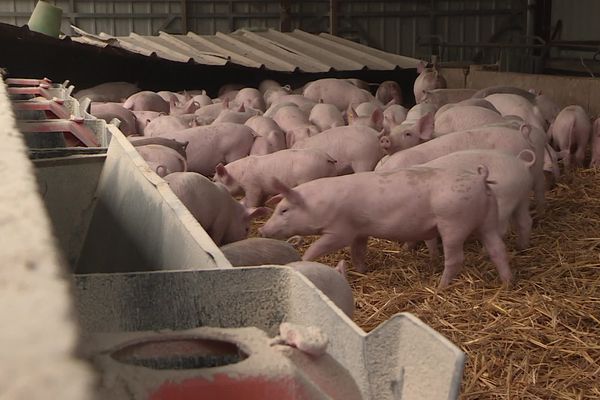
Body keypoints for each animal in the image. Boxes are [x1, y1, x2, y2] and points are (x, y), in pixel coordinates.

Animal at [260, 165, 512, 288]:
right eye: (277, 208)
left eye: (284, 210)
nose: (262, 230)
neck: (317, 206)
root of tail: (480, 180)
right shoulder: (359, 231)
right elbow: (357, 251)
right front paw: (362, 271)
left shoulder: (340, 230)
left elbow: (318, 248)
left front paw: (302, 261)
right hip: (489, 219)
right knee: (498, 250)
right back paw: (508, 283)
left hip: (453, 222)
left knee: (456, 258)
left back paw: (440, 286)